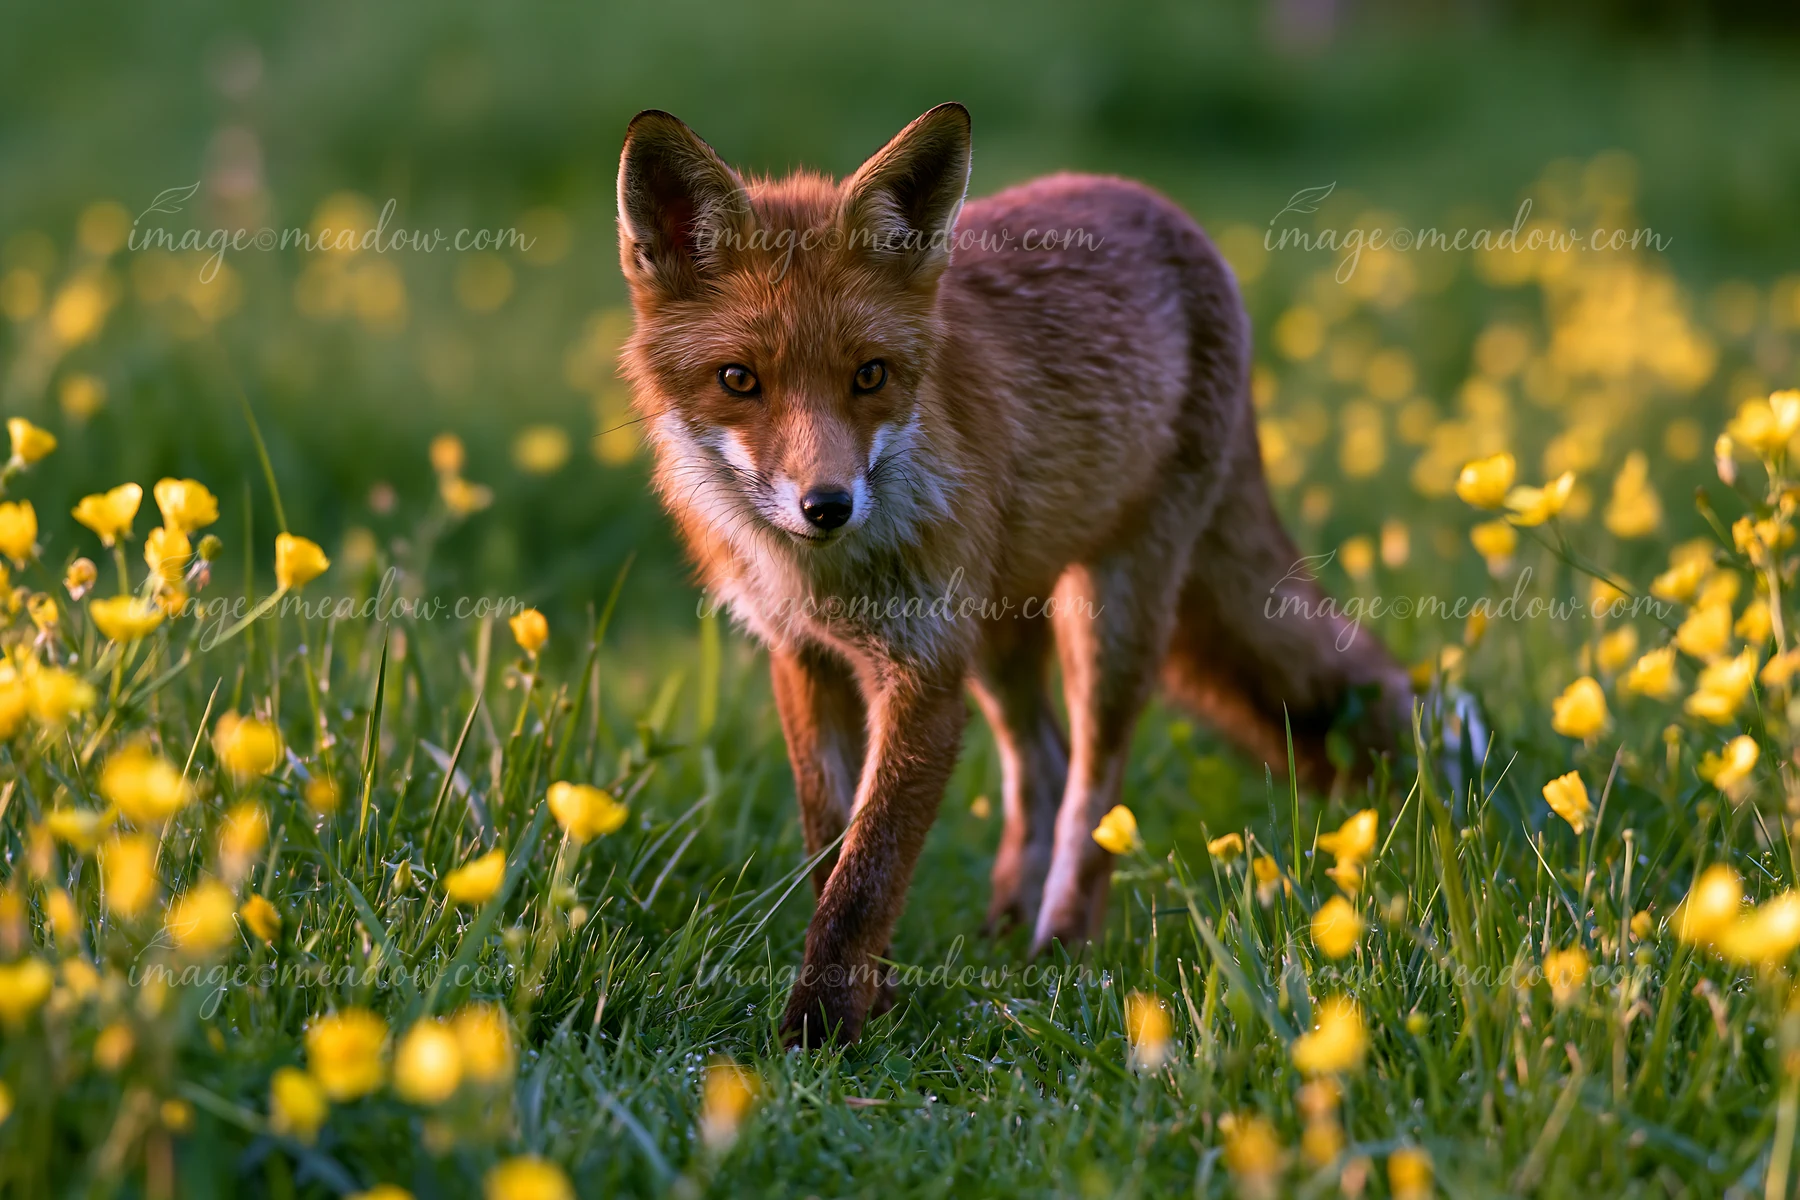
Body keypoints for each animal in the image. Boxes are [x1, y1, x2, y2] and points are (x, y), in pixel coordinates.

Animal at [615, 102, 1411, 1045]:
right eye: (739, 380)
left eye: (870, 376)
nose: (827, 505)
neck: (828, 578)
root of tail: (1156, 204)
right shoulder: (805, 658)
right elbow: (830, 849)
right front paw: (874, 999)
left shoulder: (924, 672)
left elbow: (865, 877)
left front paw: (821, 1034)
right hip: (998, 638)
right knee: (1043, 761)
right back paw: (1004, 927)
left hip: (1110, 612)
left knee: (1091, 790)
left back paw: (1061, 946)